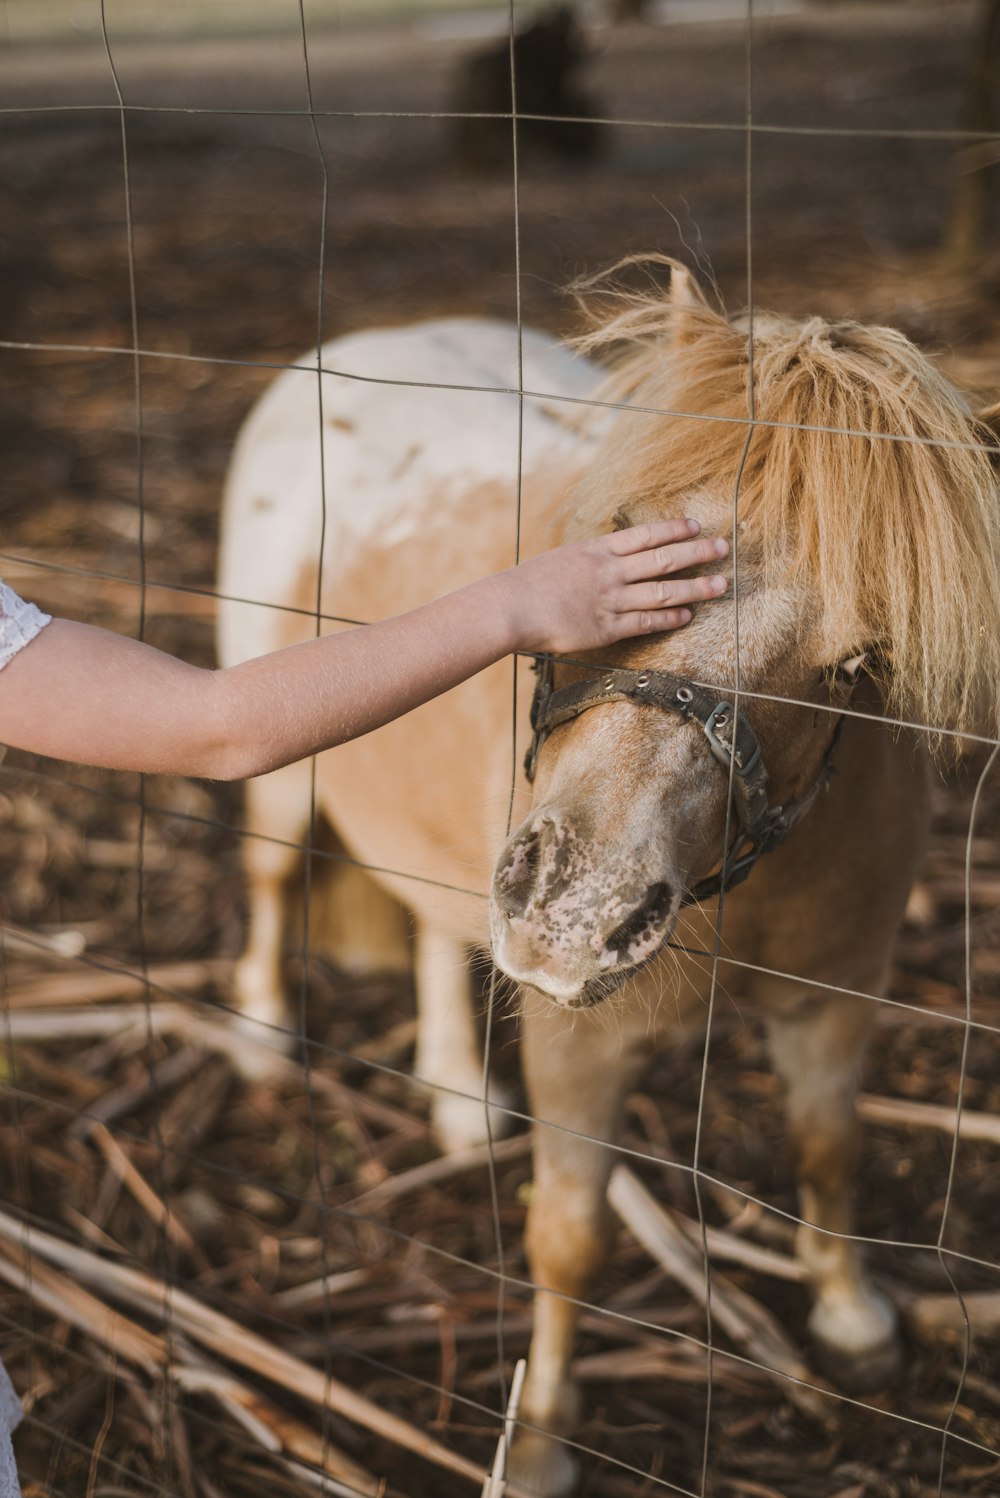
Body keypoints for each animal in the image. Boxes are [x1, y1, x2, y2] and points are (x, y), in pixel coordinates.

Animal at [218, 263, 999, 1492]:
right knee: (266, 877)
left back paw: (456, 1094)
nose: (570, 912)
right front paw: (538, 1442)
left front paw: (852, 1318)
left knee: (437, 922)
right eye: (624, 539)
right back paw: (258, 1035)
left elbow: (830, 1146)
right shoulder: (578, 1039)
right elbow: (569, 1236)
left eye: (855, 663)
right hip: (287, 772)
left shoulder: (838, 994)